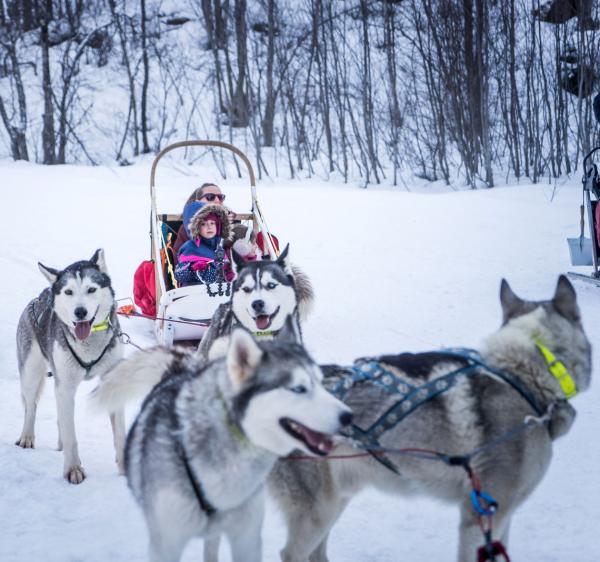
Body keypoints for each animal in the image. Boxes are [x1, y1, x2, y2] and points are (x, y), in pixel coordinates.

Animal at [14, 249, 124, 482]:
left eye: (91, 289)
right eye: (68, 291)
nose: (80, 312)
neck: (89, 344)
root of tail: (40, 297)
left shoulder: (113, 381)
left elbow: (119, 433)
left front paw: (125, 469)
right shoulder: (65, 387)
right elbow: (71, 435)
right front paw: (73, 469)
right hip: (30, 375)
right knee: (31, 407)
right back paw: (27, 436)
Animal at [95, 324, 350, 560]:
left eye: (322, 382)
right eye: (298, 388)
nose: (348, 416)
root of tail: (181, 368)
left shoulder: (247, 538)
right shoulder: (166, 544)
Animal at [270, 276, 592, 560]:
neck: (522, 374)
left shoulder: (500, 515)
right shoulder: (480, 517)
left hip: (336, 501)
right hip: (318, 512)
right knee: (291, 553)